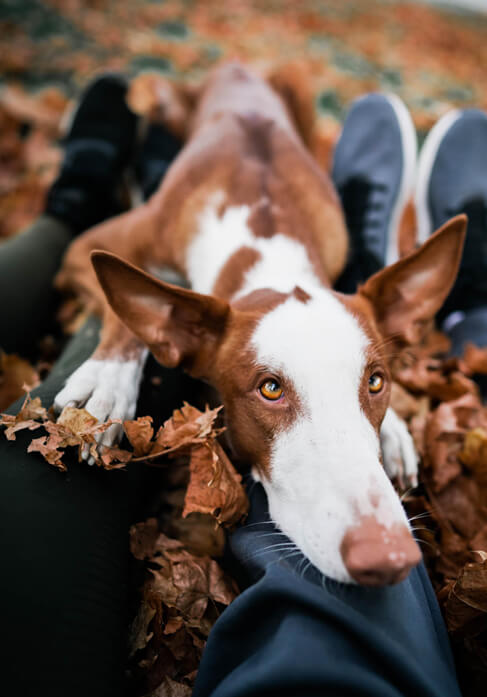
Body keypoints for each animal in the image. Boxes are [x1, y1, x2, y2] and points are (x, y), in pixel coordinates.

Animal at [51, 62, 468, 584]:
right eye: (270, 389)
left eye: (375, 382)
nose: (388, 555)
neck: (266, 237)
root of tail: (236, 66)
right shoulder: (87, 246)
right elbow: (124, 310)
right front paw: (107, 382)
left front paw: (391, 429)